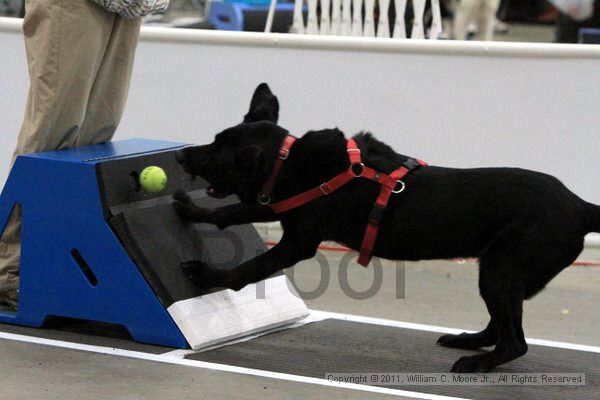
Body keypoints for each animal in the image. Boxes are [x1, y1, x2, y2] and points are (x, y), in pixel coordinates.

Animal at [175, 83, 600, 374]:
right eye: (214, 139)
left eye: (215, 152)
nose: (180, 155)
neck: (289, 162)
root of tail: (580, 206)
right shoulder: (277, 208)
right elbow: (232, 212)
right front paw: (190, 209)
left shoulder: (298, 241)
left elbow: (249, 268)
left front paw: (208, 275)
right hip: (500, 270)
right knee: (502, 326)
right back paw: (468, 341)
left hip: (502, 268)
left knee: (516, 342)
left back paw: (478, 363)